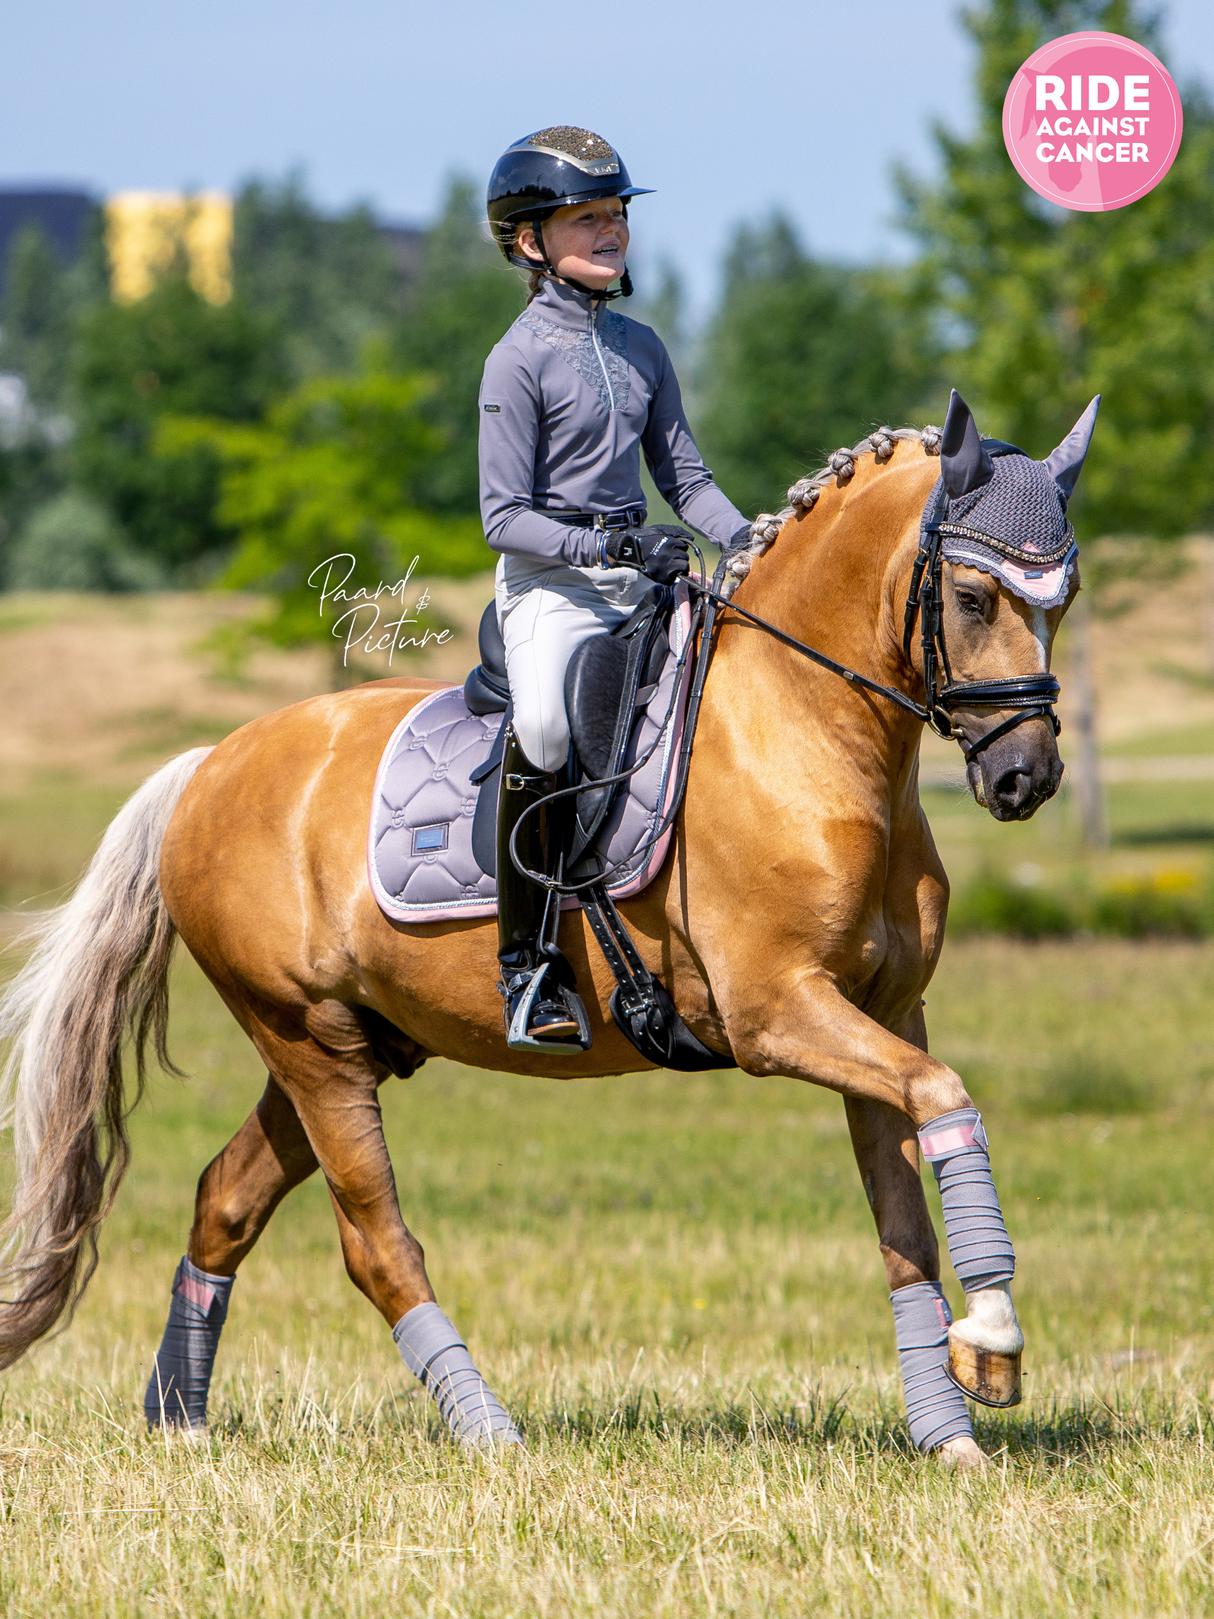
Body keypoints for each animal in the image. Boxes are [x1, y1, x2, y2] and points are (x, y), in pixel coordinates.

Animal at [0, 395, 1100, 1470]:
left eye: (1065, 596)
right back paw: (490, 1433)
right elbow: (947, 1099)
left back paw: (177, 1417)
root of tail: (210, 765)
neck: (803, 732)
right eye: (972, 597)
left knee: (223, 1201)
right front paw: (994, 1339)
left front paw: (951, 1427)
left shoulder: (885, 1013)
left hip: (344, 1043)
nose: (1026, 777)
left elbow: (905, 1215)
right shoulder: (777, 1013)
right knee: (375, 1244)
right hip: (308, 1041)